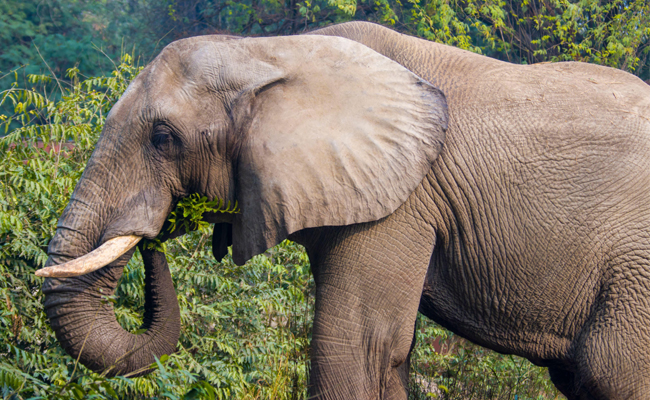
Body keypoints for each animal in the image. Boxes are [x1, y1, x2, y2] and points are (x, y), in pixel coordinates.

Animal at [36, 21, 650, 399]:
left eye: (164, 138)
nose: (155, 237)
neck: (274, 50)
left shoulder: (400, 200)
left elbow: (358, 350)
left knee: (610, 373)